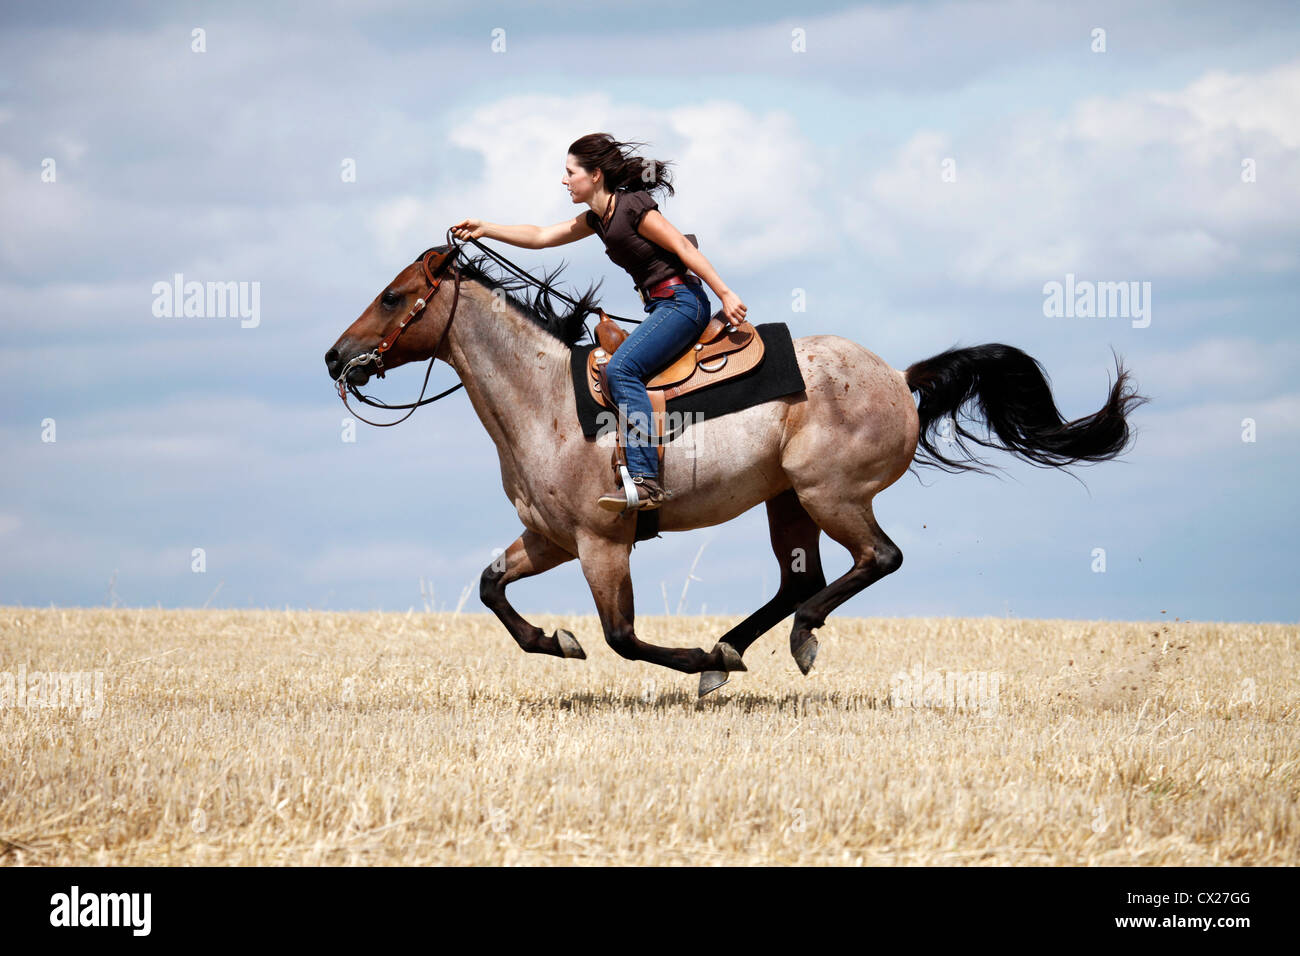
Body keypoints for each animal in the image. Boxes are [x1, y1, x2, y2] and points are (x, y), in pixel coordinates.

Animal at [325, 240, 1149, 697]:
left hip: (830, 494)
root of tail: (899, 376)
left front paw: (679, 656)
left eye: (394, 296)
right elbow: (493, 587)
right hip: (789, 503)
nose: (337, 357)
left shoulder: (602, 544)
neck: (546, 399)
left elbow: (622, 636)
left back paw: (780, 643)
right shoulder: (551, 539)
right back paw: (731, 652)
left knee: (874, 560)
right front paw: (557, 643)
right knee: (800, 581)